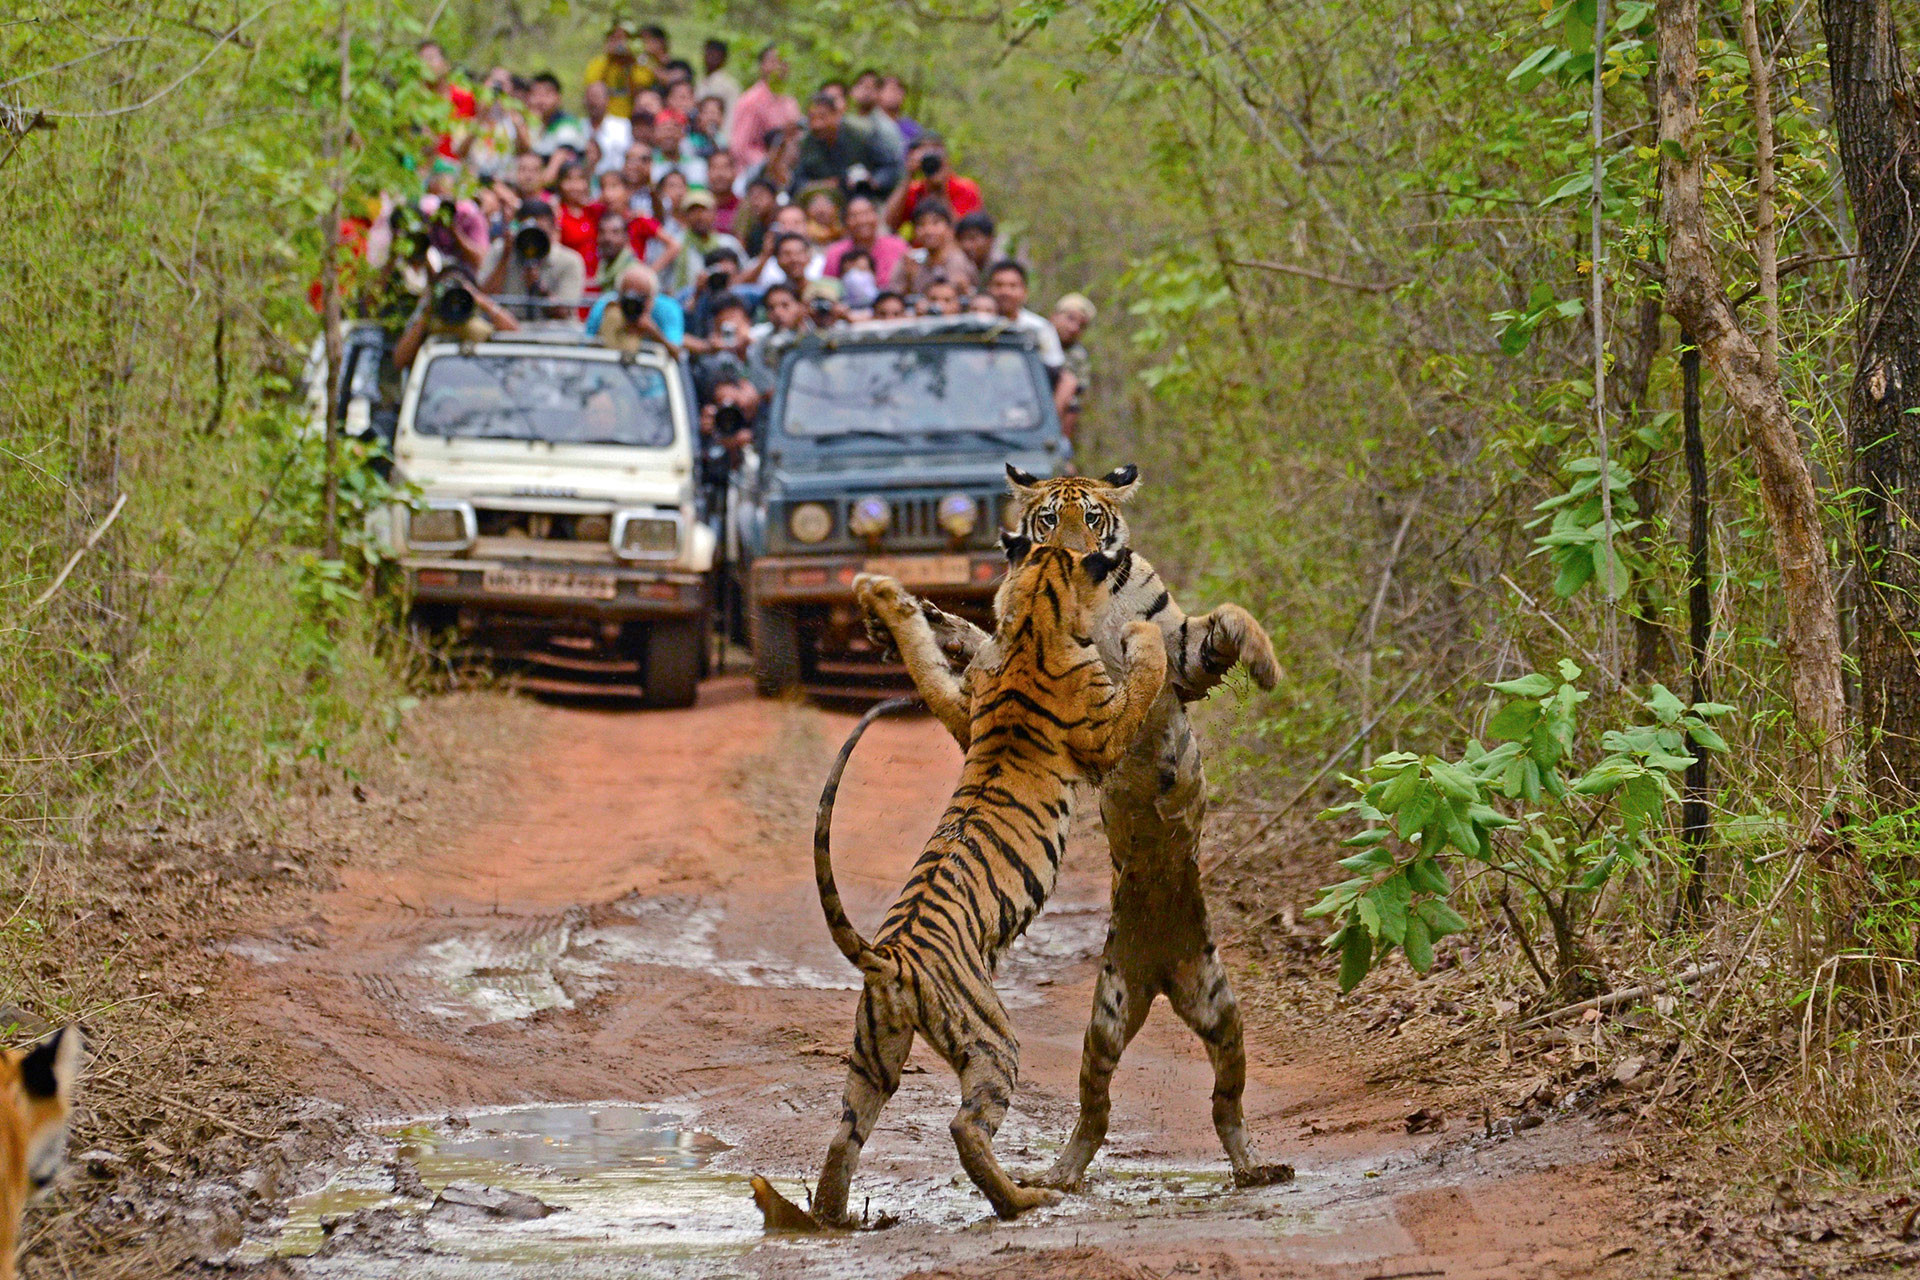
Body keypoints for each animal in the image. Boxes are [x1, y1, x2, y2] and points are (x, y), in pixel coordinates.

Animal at [798, 541, 1159, 1228]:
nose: (1114, 554)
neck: (1035, 621)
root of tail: (891, 957)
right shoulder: (1105, 730)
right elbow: (1145, 678)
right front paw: (1144, 635)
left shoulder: (965, 709)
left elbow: (928, 659)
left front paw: (894, 601)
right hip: (992, 1038)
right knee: (966, 1128)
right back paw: (1024, 1199)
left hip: (874, 1050)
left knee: (844, 1131)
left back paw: (835, 1216)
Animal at [856, 466, 1290, 1197]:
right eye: (1046, 520)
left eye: (1093, 516)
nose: (1086, 558)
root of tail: (1162, 975)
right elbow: (972, 643)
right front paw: (921, 618)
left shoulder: (1185, 656)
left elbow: (1231, 617)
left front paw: (1267, 668)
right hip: (1106, 1020)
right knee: (1098, 1108)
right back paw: (1059, 1174)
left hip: (1221, 1010)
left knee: (1226, 1102)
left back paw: (1256, 1165)